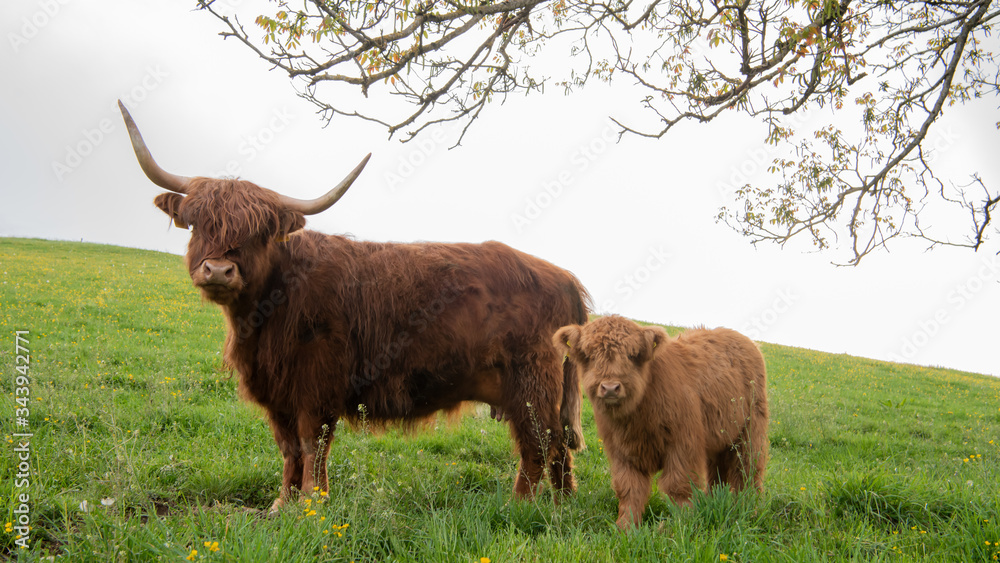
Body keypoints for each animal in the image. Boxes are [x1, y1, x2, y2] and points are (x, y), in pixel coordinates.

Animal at [118, 101, 589, 511]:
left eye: (260, 231)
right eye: (197, 223)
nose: (218, 270)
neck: (266, 315)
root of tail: (563, 277)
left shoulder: (317, 386)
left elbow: (313, 445)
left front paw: (311, 503)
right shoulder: (277, 393)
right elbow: (288, 448)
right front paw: (281, 504)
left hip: (531, 385)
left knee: (539, 445)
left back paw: (521, 506)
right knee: (558, 449)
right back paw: (562, 506)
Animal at [553, 315, 768, 529]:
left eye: (632, 355)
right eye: (588, 356)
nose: (610, 387)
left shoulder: (683, 444)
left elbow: (678, 486)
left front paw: (680, 524)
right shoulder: (621, 451)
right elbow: (629, 489)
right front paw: (626, 527)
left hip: (751, 430)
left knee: (747, 470)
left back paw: (748, 509)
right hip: (719, 437)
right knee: (718, 472)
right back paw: (715, 500)